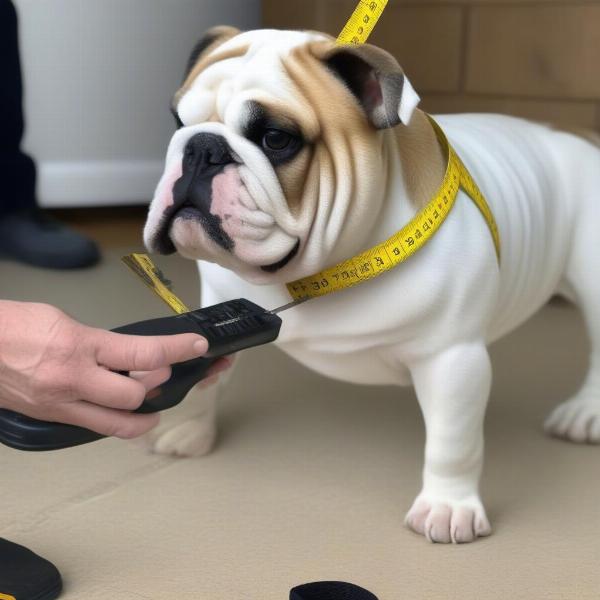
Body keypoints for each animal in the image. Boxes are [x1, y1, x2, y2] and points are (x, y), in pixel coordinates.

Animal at [144, 28, 600, 544]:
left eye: (277, 139)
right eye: (177, 120)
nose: (201, 147)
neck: (313, 273)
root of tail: (577, 133)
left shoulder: (453, 359)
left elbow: (453, 440)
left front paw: (447, 506)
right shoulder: (216, 305)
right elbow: (207, 378)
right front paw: (190, 430)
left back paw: (584, 414)